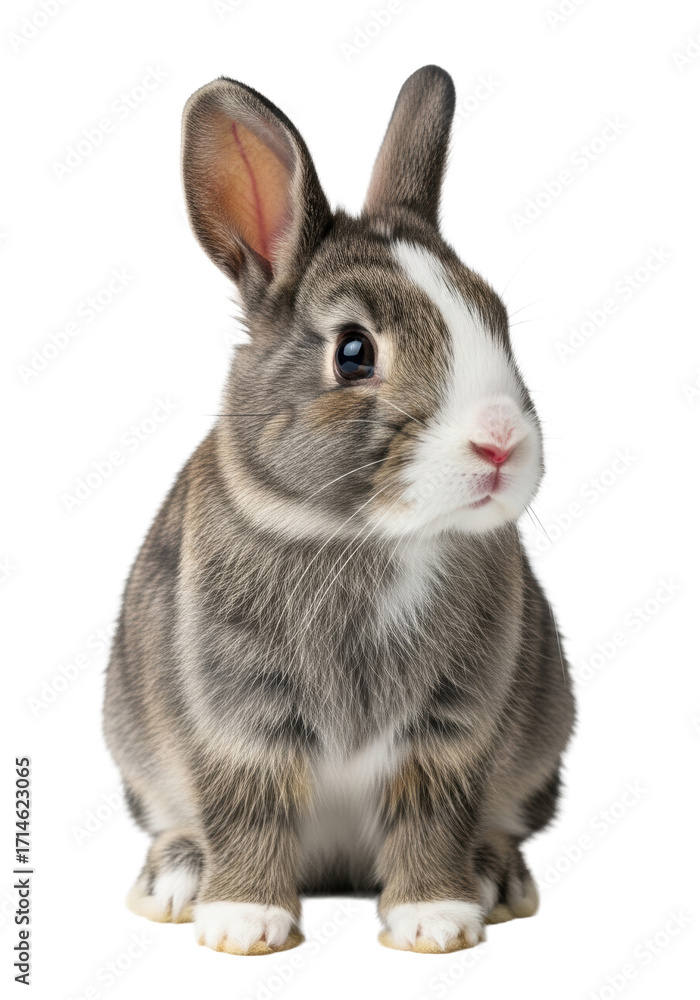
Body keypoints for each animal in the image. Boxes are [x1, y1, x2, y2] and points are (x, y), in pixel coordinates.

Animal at [103, 64, 575, 956]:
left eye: (496, 317)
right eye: (354, 352)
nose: (499, 444)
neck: (366, 538)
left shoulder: (449, 730)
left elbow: (434, 812)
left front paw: (435, 921)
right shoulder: (239, 719)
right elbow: (247, 809)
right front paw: (243, 924)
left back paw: (497, 879)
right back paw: (178, 880)